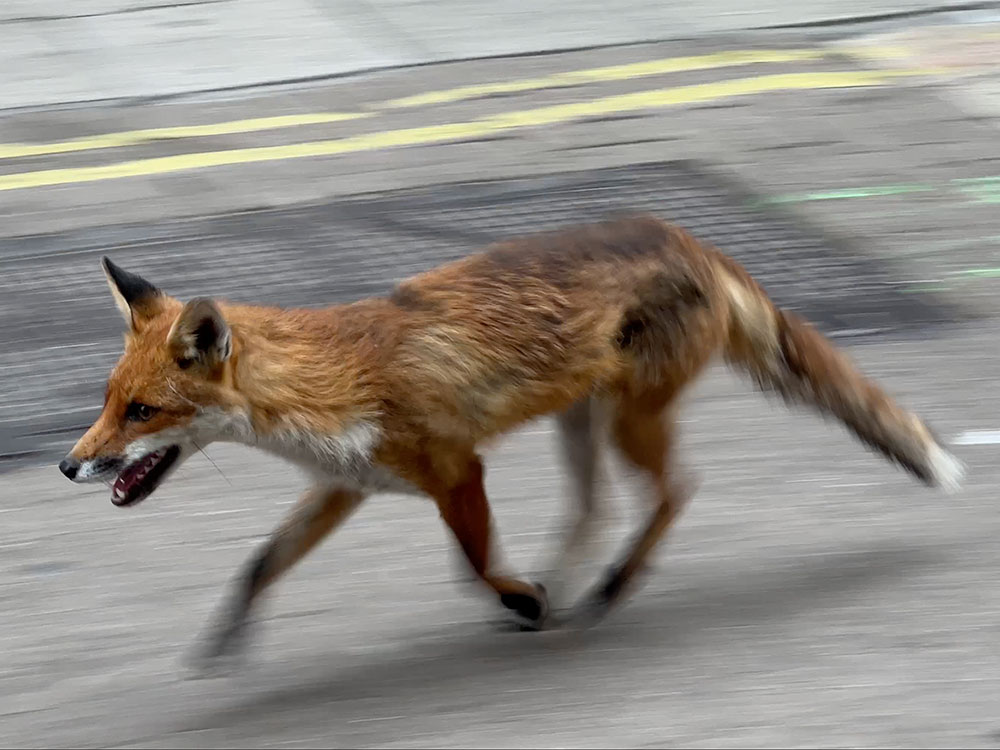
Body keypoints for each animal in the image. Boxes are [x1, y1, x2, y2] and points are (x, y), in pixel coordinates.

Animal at [59, 214, 964, 670]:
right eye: (107, 403)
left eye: (141, 412)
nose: (70, 464)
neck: (327, 383)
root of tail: (685, 236)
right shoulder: (347, 485)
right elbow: (259, 563)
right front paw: (227, 637)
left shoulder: (458, 469)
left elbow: (474, 564)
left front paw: (520, 596)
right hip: (581, 422)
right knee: (597, 509)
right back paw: (577, 584)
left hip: (629, 423)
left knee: (675, 492)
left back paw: (607, 588)